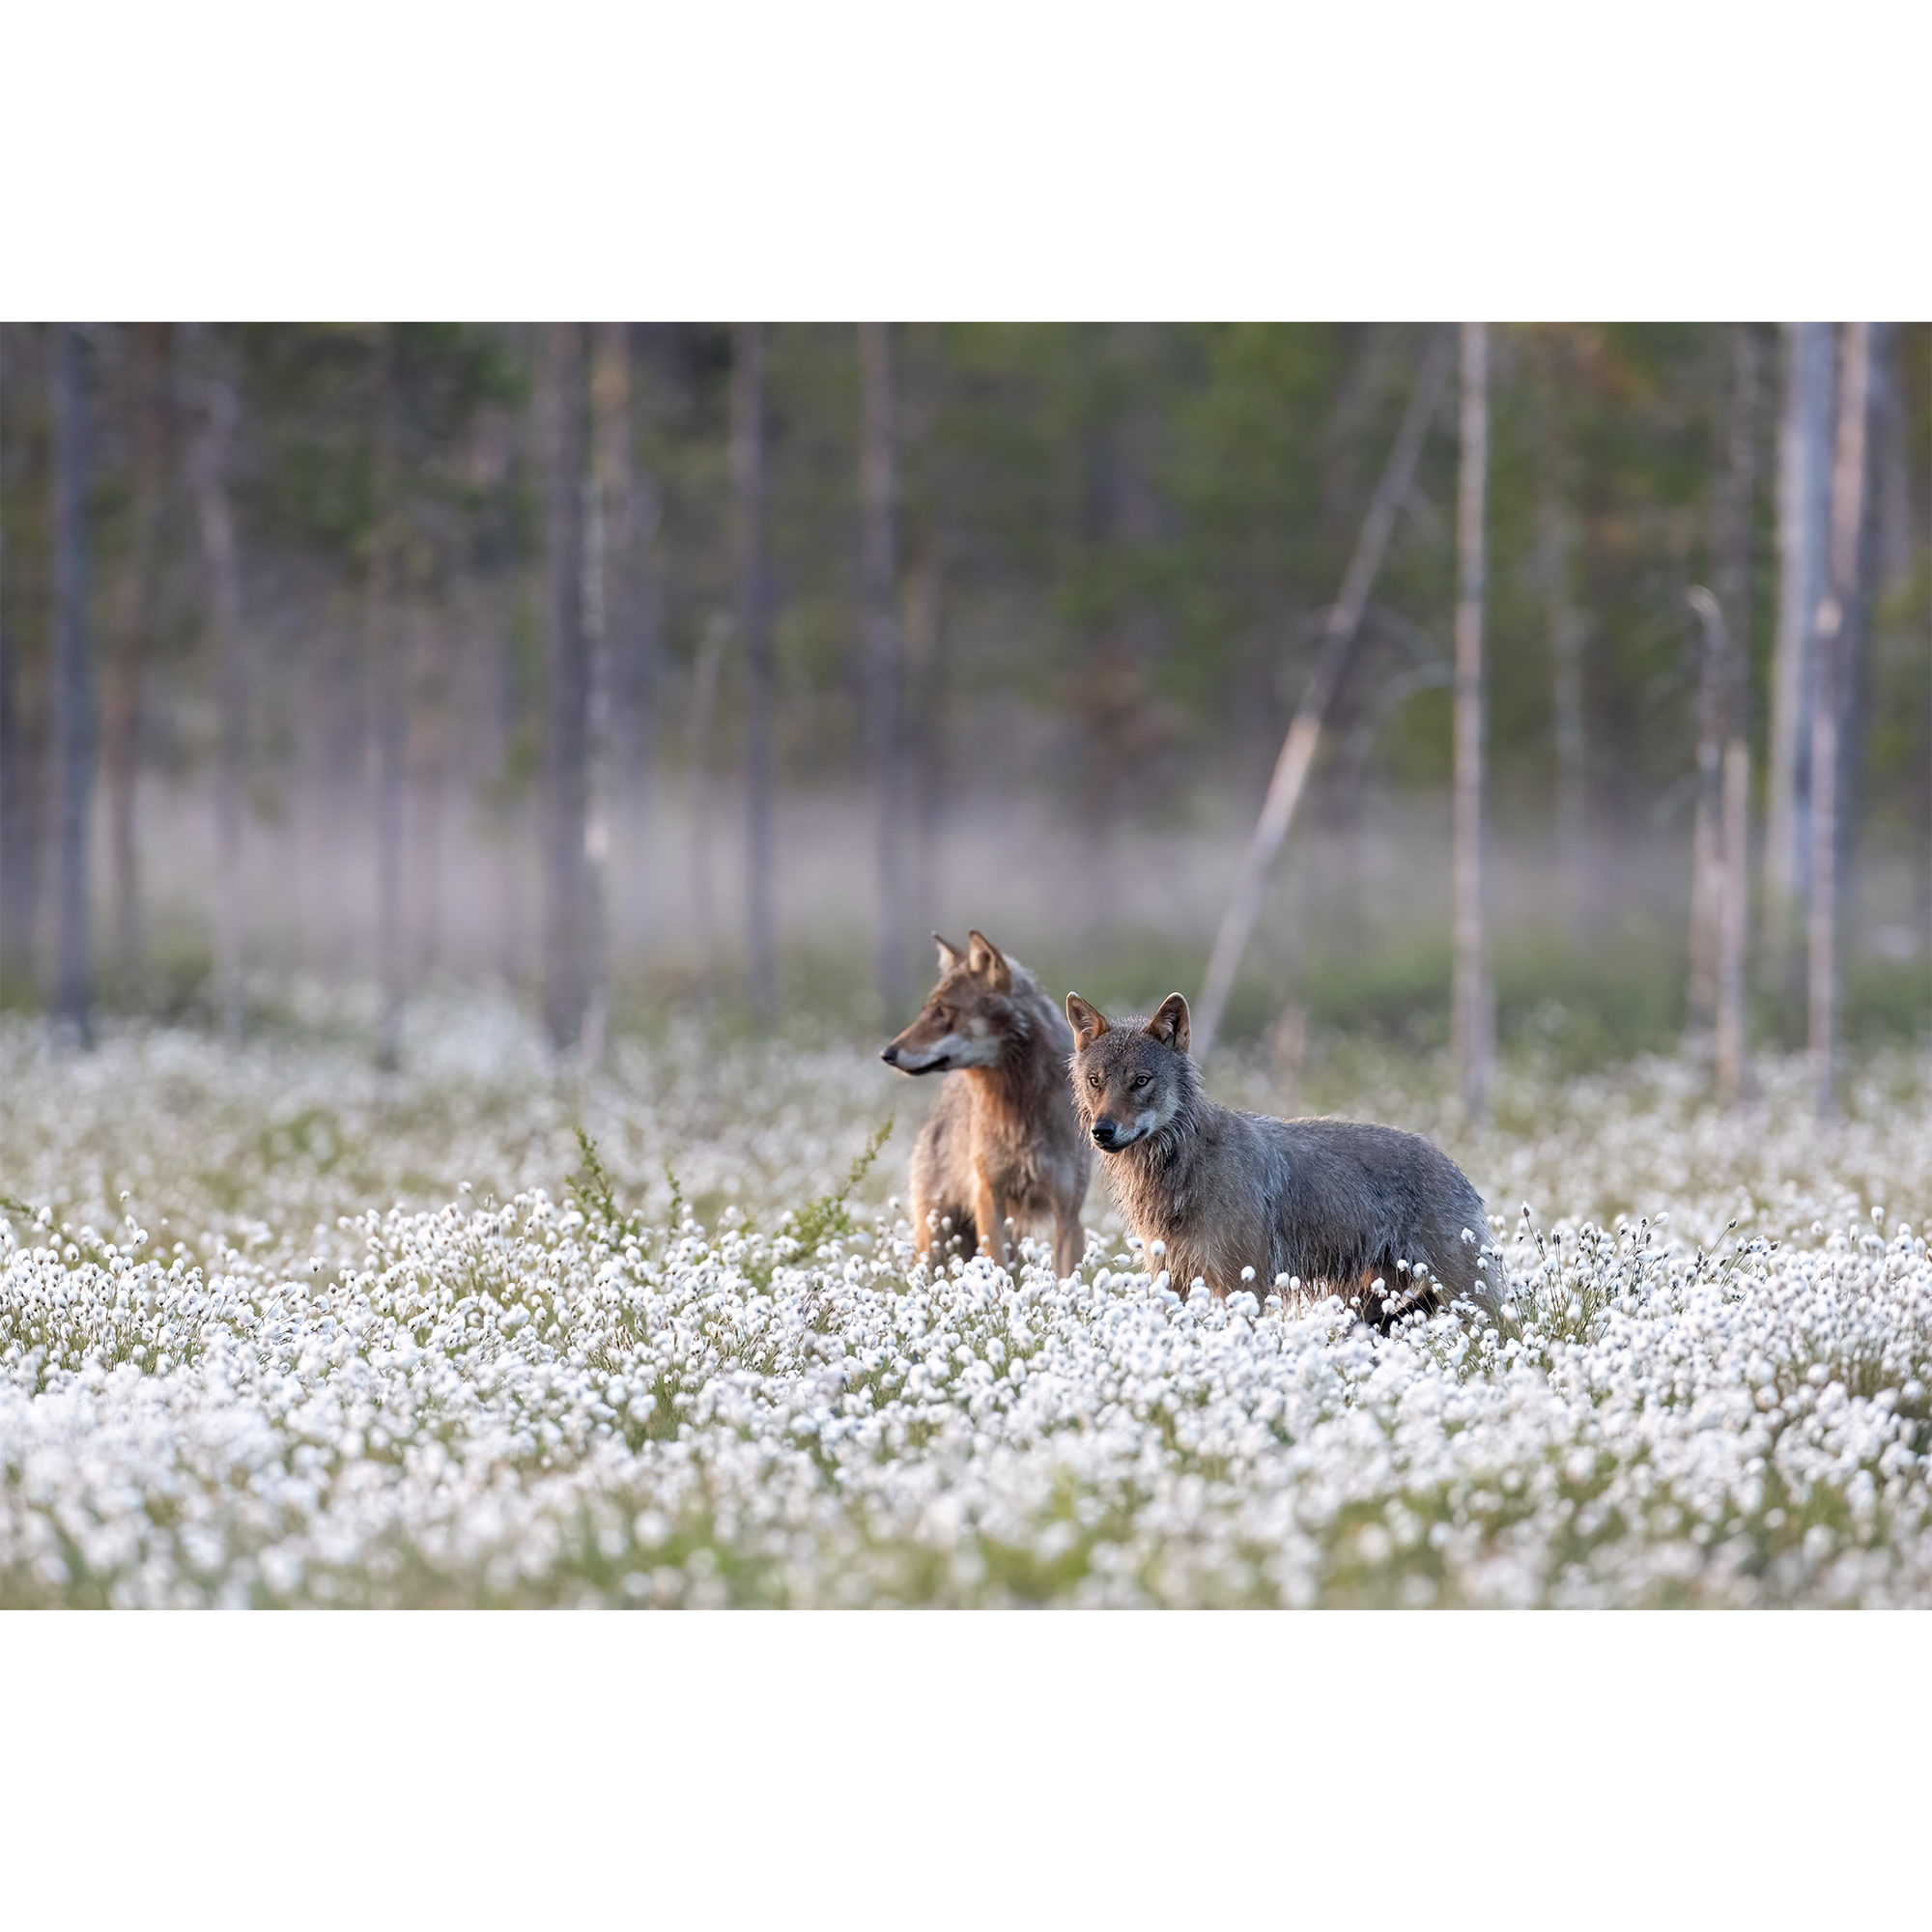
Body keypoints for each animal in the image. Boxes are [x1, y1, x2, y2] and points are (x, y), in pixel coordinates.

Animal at [881, 930, 1091, 1278]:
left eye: (941, 1011)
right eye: (927, 1010)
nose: (887, 1053)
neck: (1019, 1105)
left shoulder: (1069, 1216)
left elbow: (1065, 1280)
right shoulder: (989, 1197)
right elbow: (997, 1268)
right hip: (934, 1237)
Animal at [1064, 989, 1487, 1323]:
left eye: (1140, 1081)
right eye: (1095, 1081)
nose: (1102, 1131)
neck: (1182, 1171)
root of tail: (1453, 1165)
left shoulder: (1242, 1285)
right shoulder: (1170, 1281)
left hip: (1466, 1297)